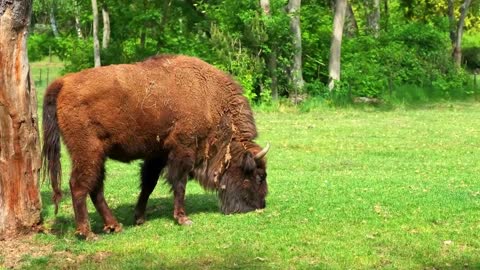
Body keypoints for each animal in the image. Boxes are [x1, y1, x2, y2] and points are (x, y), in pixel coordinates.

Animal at [42, 54, 270, 238]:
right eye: (259, 176)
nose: (261, 206)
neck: (209, 100)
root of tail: (63, 82)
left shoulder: (157, 155)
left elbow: (148, 184)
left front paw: (139, 218)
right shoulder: (182, 151)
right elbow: (179, 184)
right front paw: (183, 219)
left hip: (97, 156)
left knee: (95, 188)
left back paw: (114, 226)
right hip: (88, 152)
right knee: (79, 186)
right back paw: (88, 233)